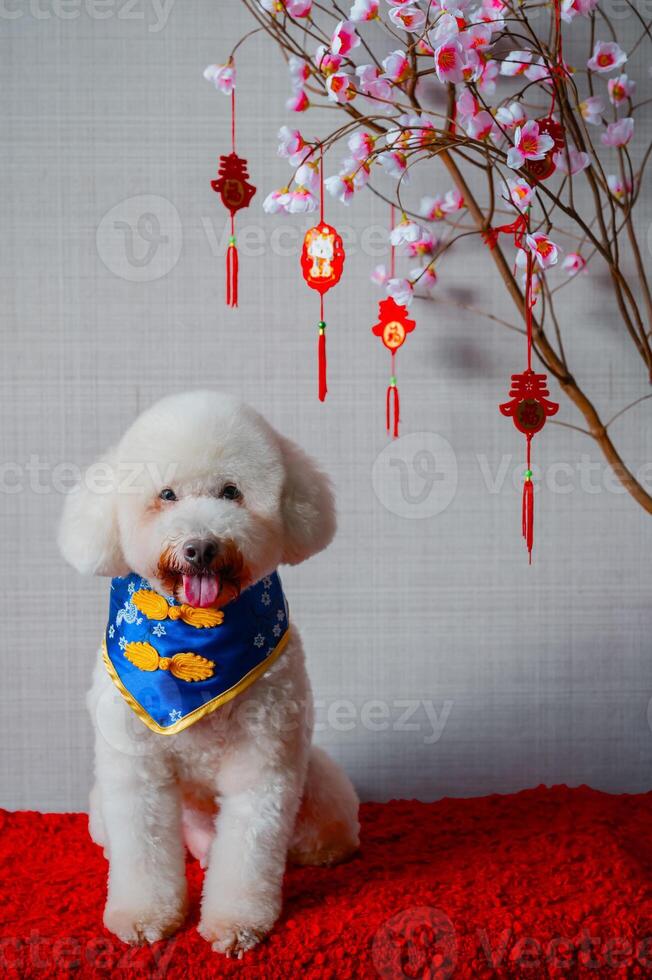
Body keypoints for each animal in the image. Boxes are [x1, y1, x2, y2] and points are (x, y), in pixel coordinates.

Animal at [58, 390, 360, 956]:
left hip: (316, 786)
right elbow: (142, 852)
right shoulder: (136, 769)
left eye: (231, 492)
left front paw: (236, 924)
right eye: (167, 494)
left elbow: (249, 851)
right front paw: (143, 916)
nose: (200, 547)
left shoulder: (263, 762)